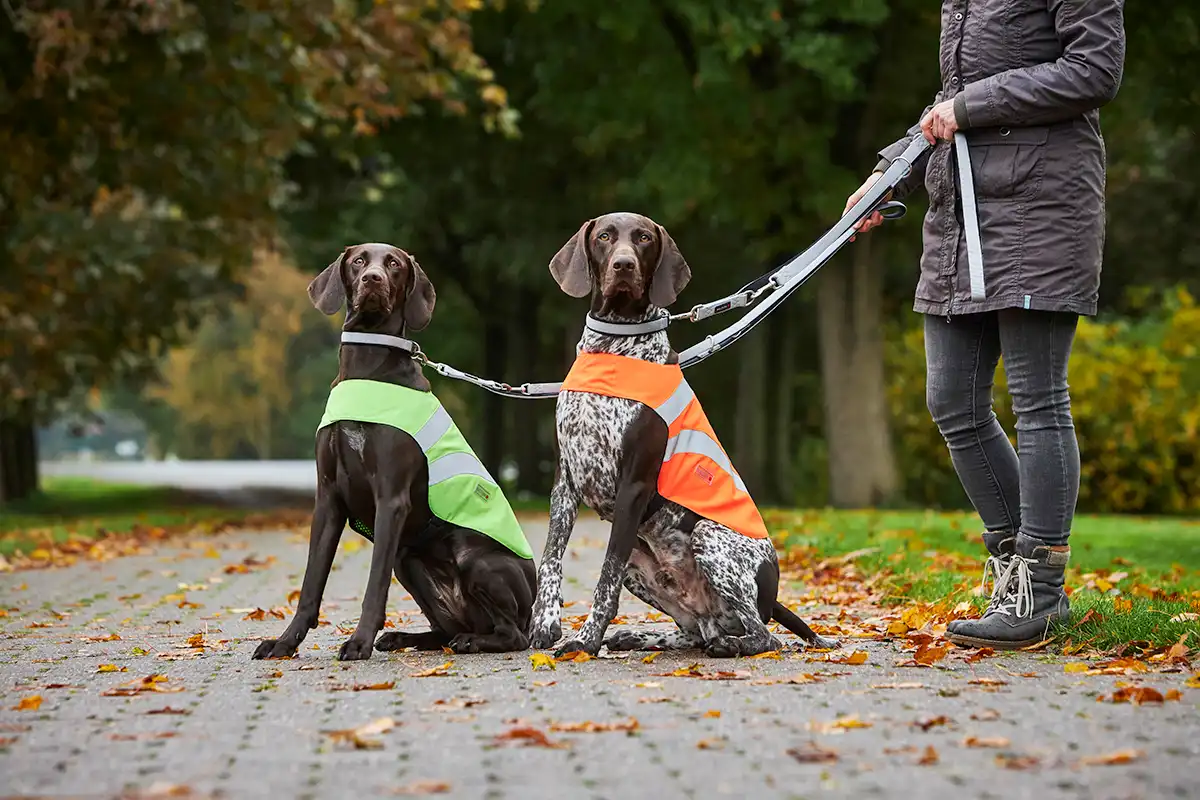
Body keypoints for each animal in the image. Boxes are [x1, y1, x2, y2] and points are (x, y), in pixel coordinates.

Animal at [530, 212, 840, 657]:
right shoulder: (566, 478)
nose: (623, 265)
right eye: (605, 236)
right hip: (643, 569)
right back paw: (641, 636)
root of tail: (772, 596)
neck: (615, 345)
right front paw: (545, 624)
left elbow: (605, 579)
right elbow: (551, 558)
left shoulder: (634, 484)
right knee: (699, 629)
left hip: (709, 538)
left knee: (763, 637)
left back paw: (728, 646)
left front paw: (586, 640)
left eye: (643, 238)